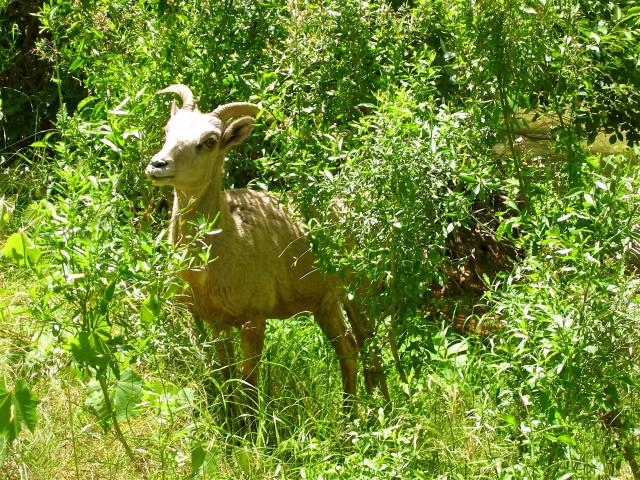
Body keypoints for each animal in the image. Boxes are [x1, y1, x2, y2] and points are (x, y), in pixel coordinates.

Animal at [147, 84, 362, 410]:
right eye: (167, 130)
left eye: (210, 141)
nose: (158, 165)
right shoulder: (215, 320)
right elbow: (225, 376)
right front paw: (232, 419)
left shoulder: (253, 318)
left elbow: (249, 384)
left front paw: (250, 423)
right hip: (324, 300)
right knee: (348, 349)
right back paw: (351, 414)